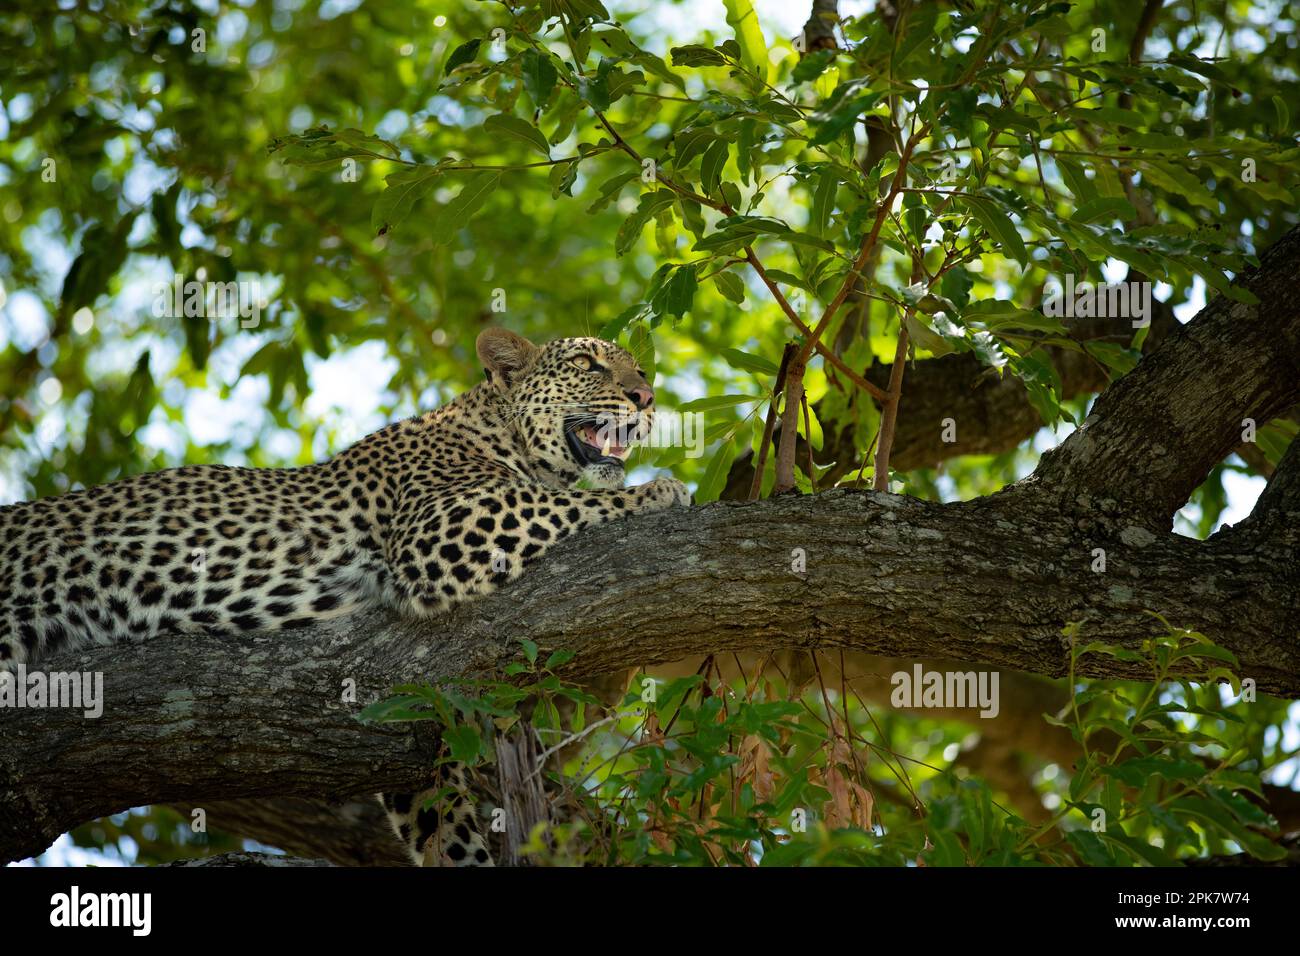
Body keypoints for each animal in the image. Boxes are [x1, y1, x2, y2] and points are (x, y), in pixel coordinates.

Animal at [0, 329, 691, 868]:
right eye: (591, 364)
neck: (496, 430)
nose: (646, 398)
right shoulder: (440, 523)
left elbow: (443, 822)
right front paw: (661, 491)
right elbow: (565, 502)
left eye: (641, 368)